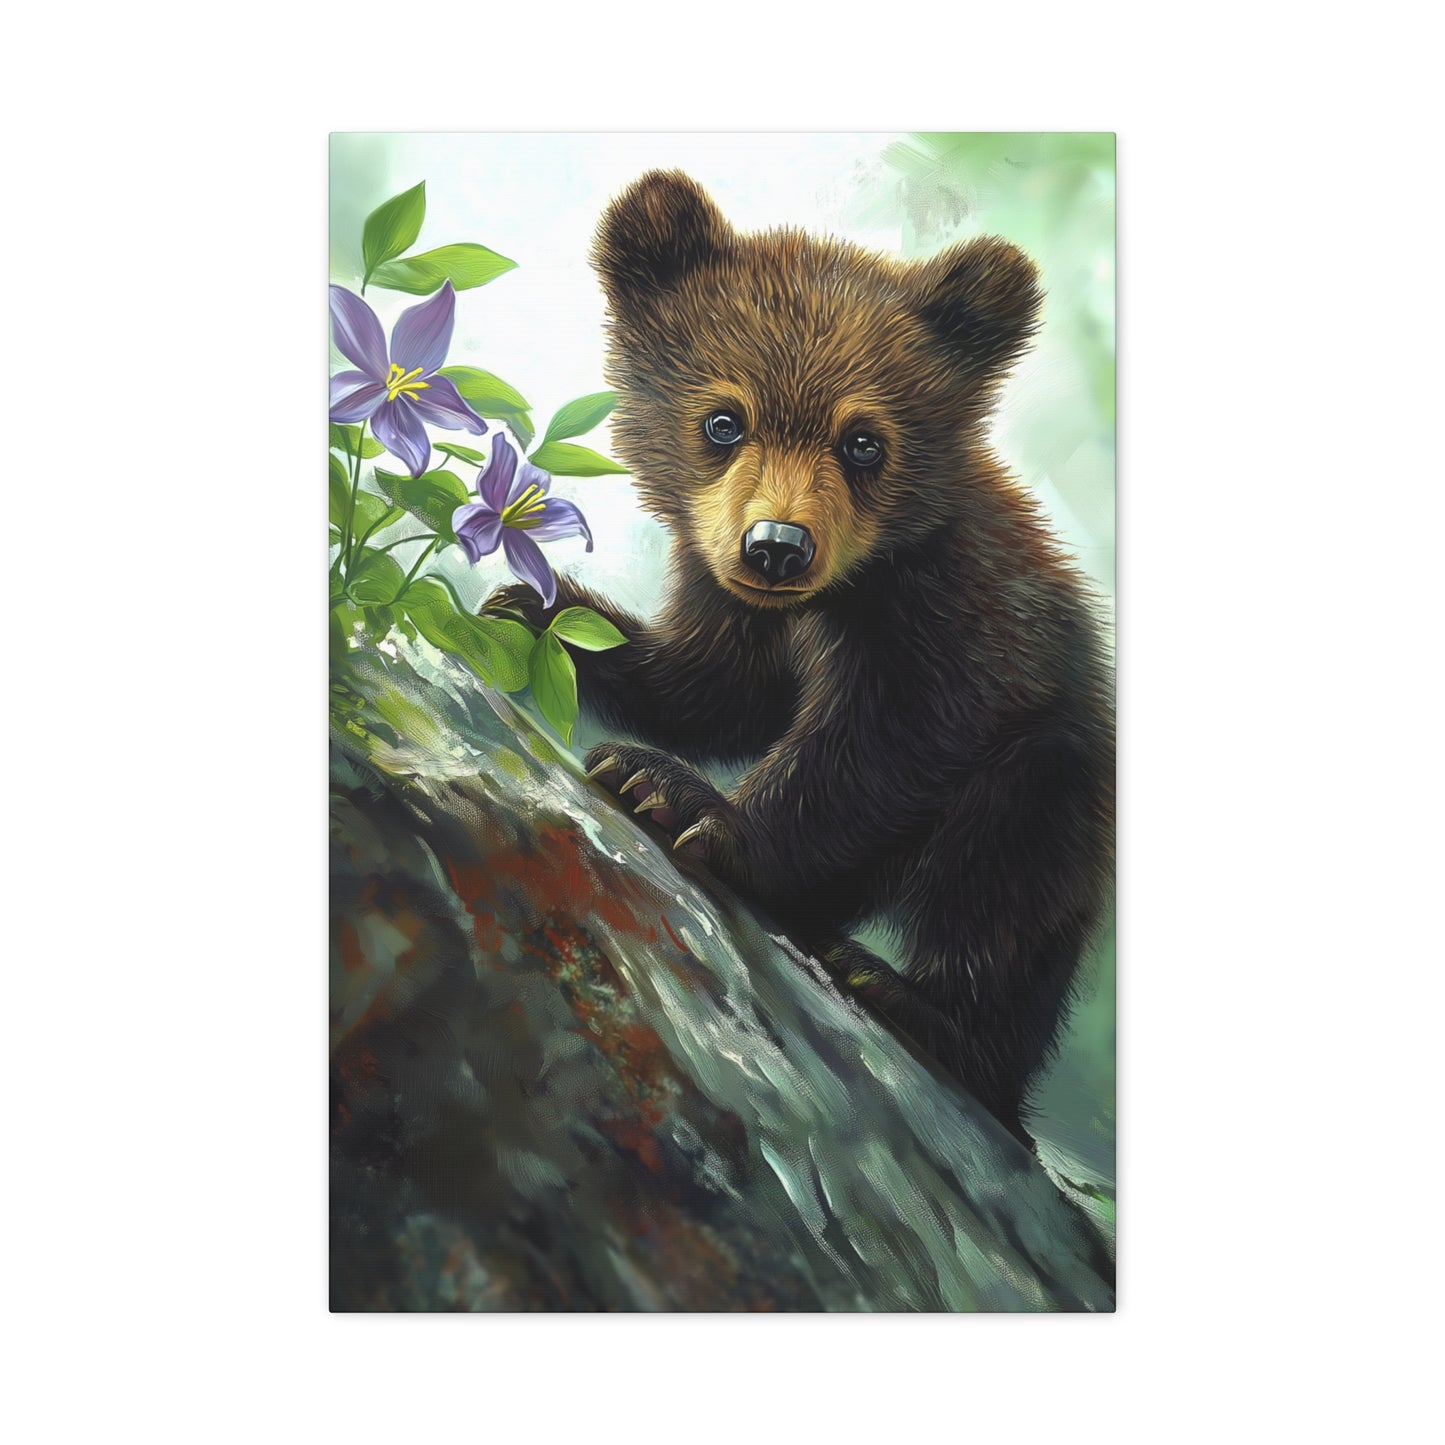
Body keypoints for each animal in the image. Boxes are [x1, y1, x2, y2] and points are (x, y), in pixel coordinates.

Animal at [487, 170, 1114, 1147]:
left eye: (864, 440)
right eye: (722, 420)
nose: (777, 545)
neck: (830, 600)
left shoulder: (948, 618)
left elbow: (879, 744)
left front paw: (677, 794)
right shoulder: (728, 592)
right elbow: (715, 686)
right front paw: (540, 612)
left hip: (1060, 779)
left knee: (1010, 881)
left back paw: (911, 999)